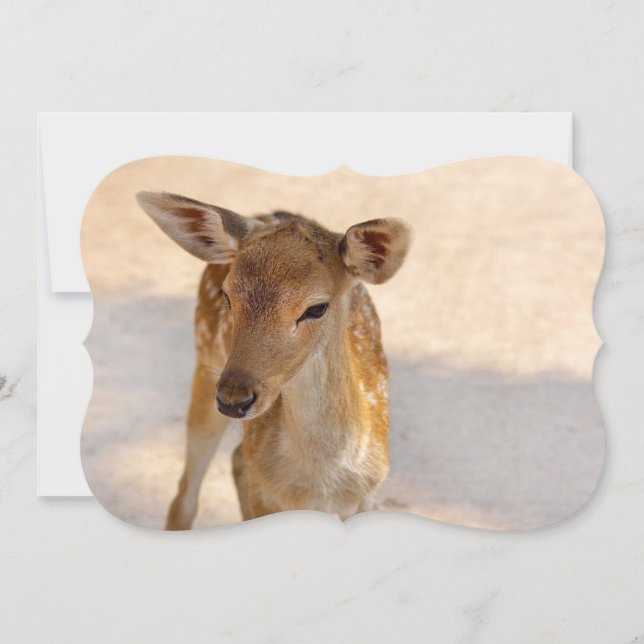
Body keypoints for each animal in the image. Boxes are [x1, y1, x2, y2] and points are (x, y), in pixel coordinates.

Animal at [136, 190, 412, 529]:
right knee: (186, 495)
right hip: (204, 361)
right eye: (227, 296)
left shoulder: (369, 494)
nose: (233, 399)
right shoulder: (266, 495)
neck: (320, 485)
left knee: (236, 458)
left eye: (316, 308)